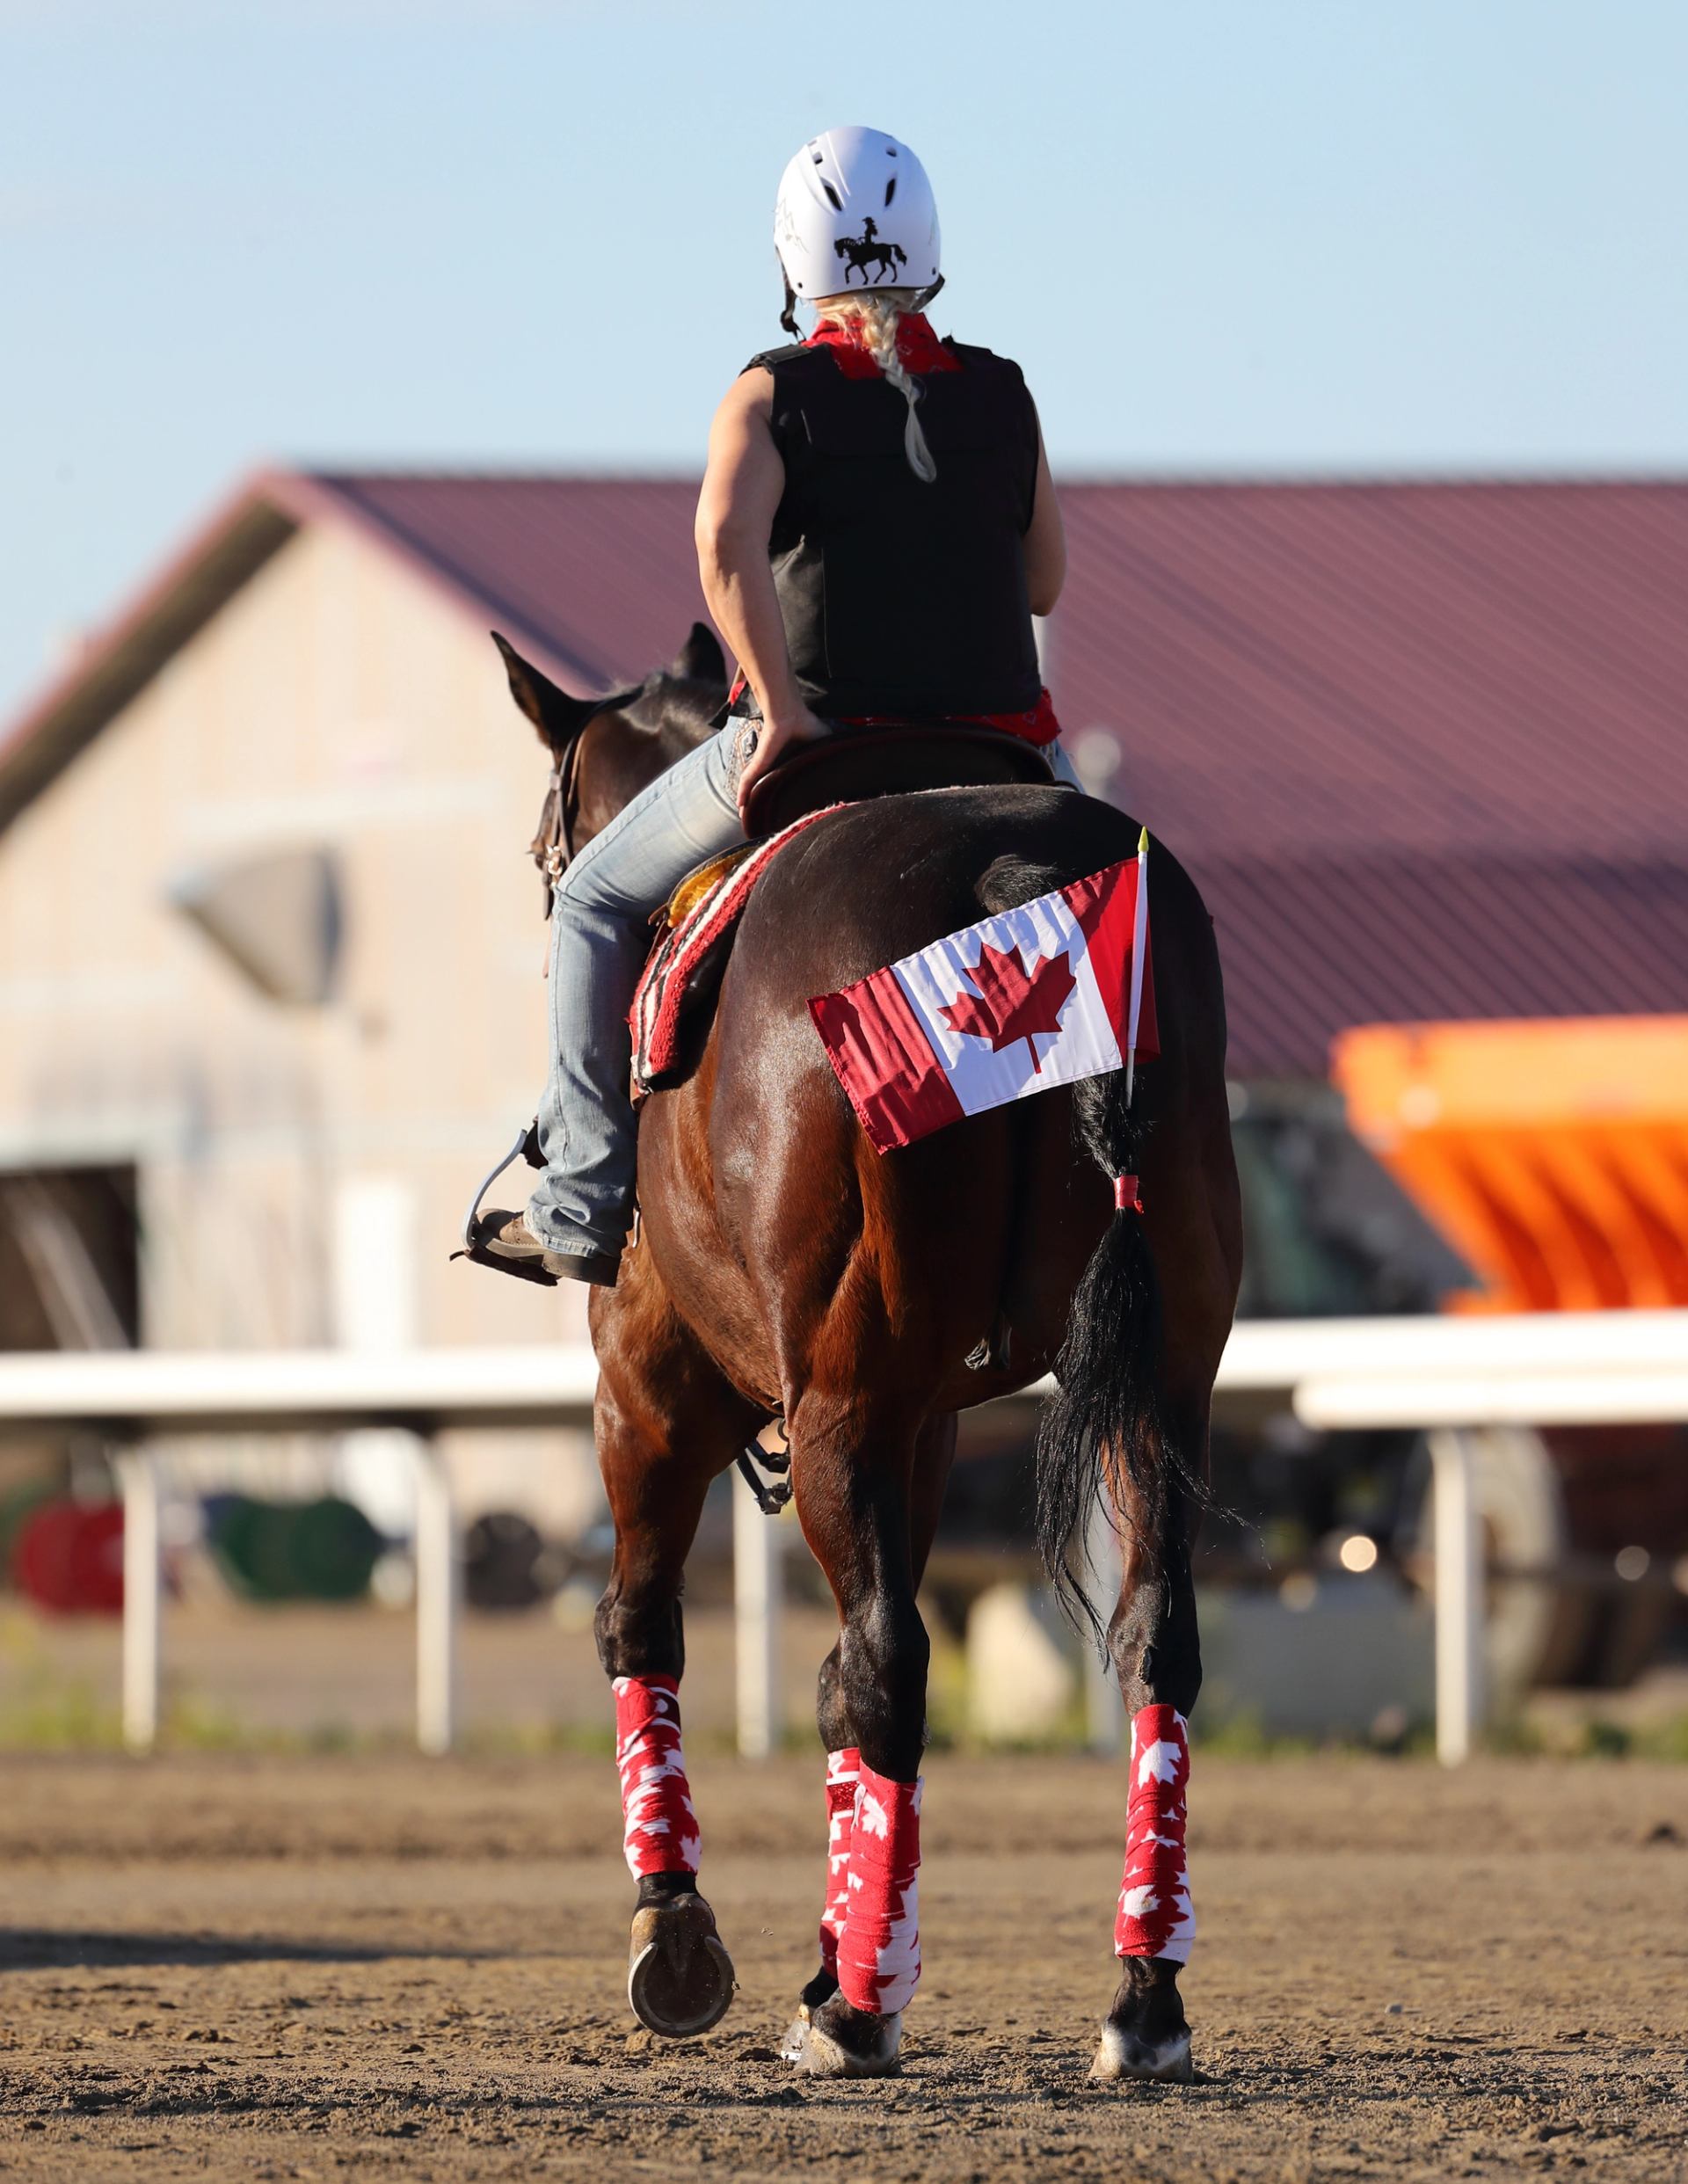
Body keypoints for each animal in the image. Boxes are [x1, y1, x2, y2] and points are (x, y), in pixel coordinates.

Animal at [492, 621, 1242, 2081]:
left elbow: (644, 1625)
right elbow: (837, 1676)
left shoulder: (649, 1395)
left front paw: (683, 1933)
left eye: (549, 841)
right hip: (1156, 1387)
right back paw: (1140, 1997)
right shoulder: (926, 1419)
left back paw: (854, 2015)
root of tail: (1016, 883)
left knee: (891, 1658)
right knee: (1152, 1642)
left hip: (827, 1403)